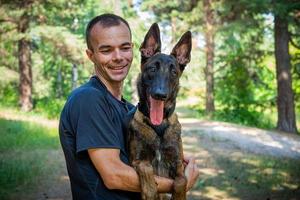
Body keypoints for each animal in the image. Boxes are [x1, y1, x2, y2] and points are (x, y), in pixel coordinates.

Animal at [127, 23, 191, 200]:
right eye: (152, 69)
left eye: (174, 72)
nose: (160, 94)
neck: (159, 125)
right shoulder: (136, 160)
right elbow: (147, 168)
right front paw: (150, 192)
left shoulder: (178, 164)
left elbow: (181, 181)